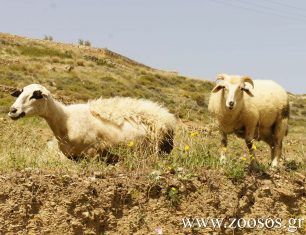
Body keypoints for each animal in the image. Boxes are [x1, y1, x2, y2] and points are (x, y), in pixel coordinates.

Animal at [7, 84, 177, 160]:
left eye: (35, 96)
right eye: (20, 93)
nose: (13, 110)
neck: (65, 120)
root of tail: (167, 116)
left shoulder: (92, 154)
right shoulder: (74, 157)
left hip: (158, 150)